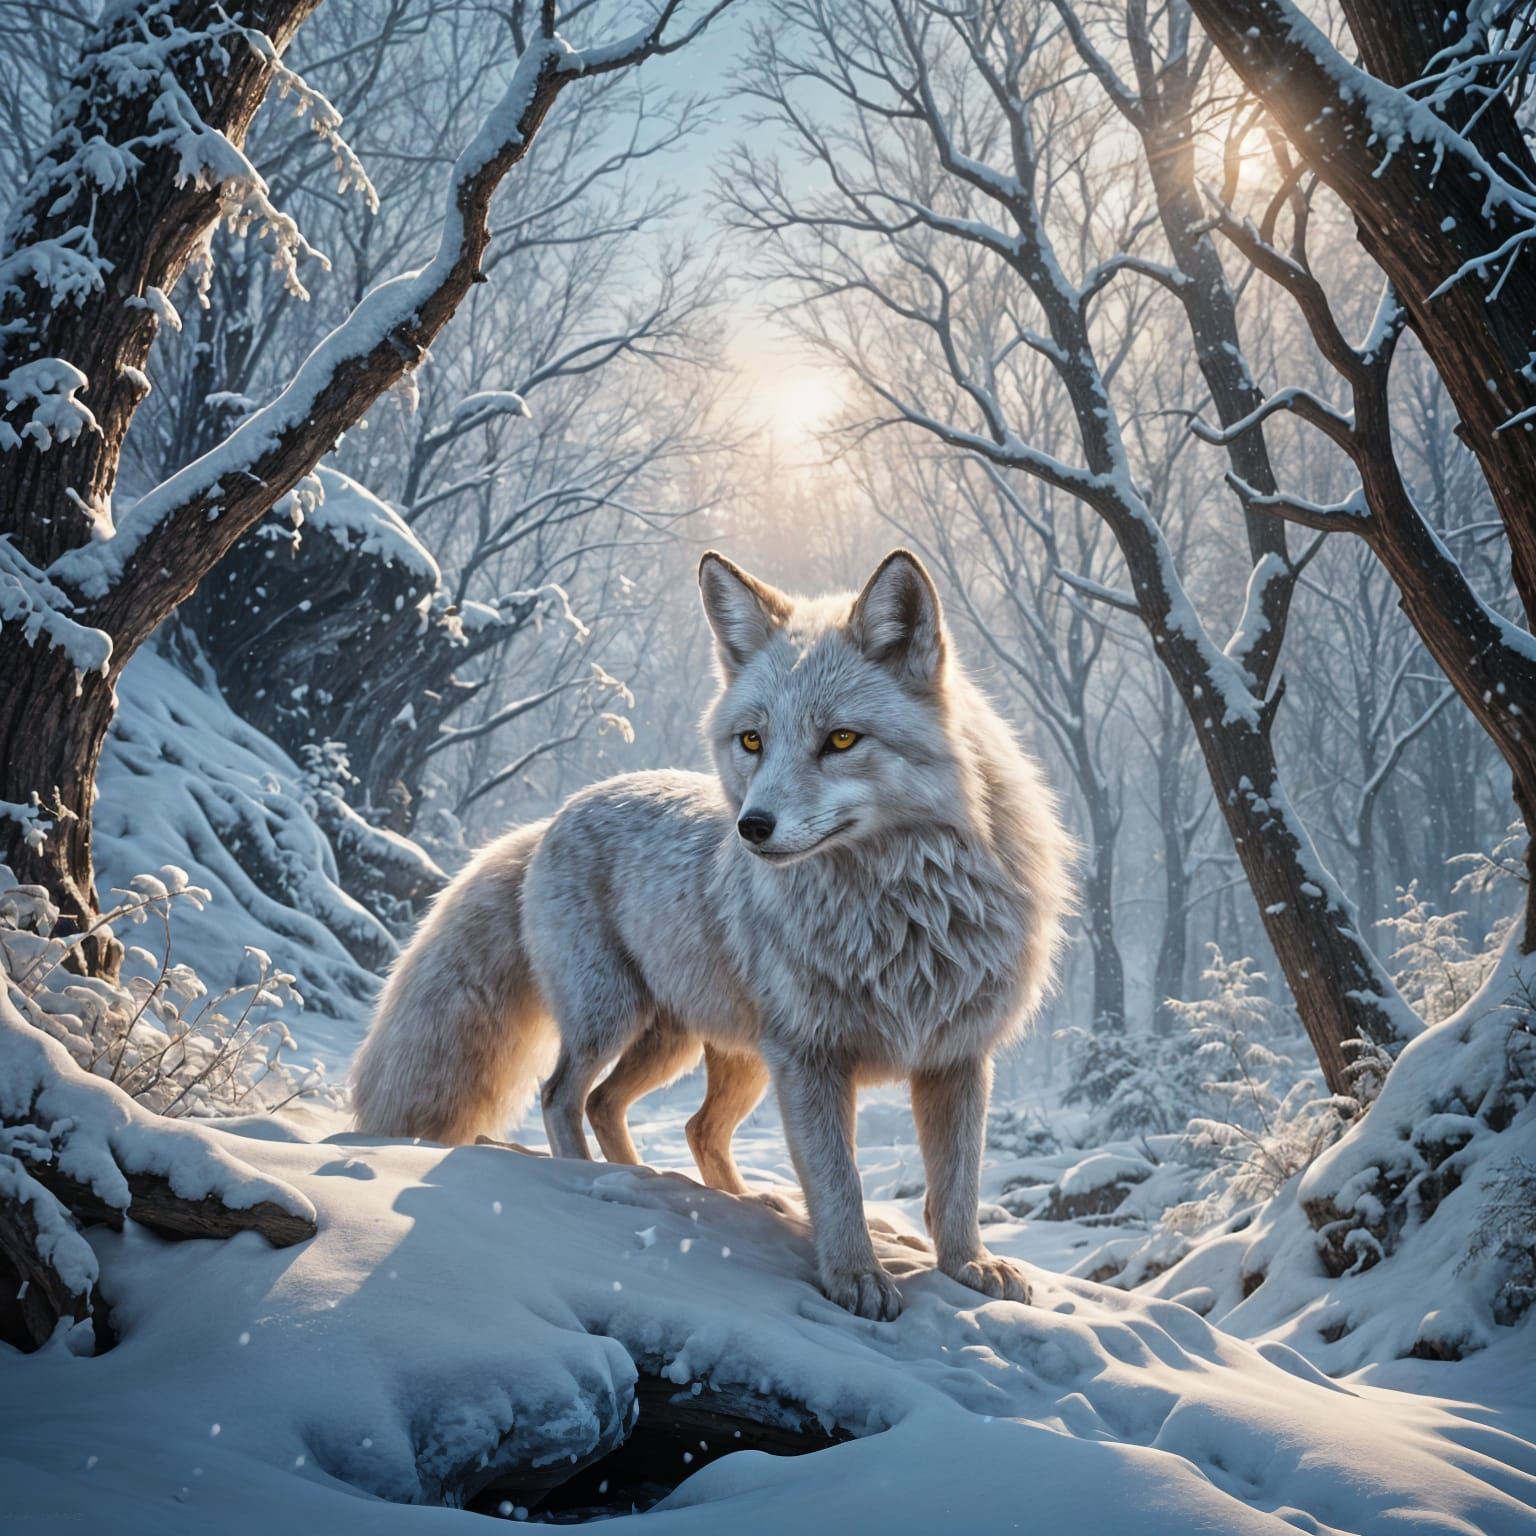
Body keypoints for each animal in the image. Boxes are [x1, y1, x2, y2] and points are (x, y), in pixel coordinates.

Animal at [351, 548, 1073, 1319]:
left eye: (841, 739)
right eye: (752, 740)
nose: (751, 827)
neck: (899, 918)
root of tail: (551, 819)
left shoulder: (957, 1055)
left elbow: (959, 1182)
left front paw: (969, 1265)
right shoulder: (809, 1056)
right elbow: (839, 1180)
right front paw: (855, 1276)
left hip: (702, 1053)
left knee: (660, 1119)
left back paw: (698, 1193)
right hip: (616, 1022)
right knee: (562, 1095)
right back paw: (589, 1184)